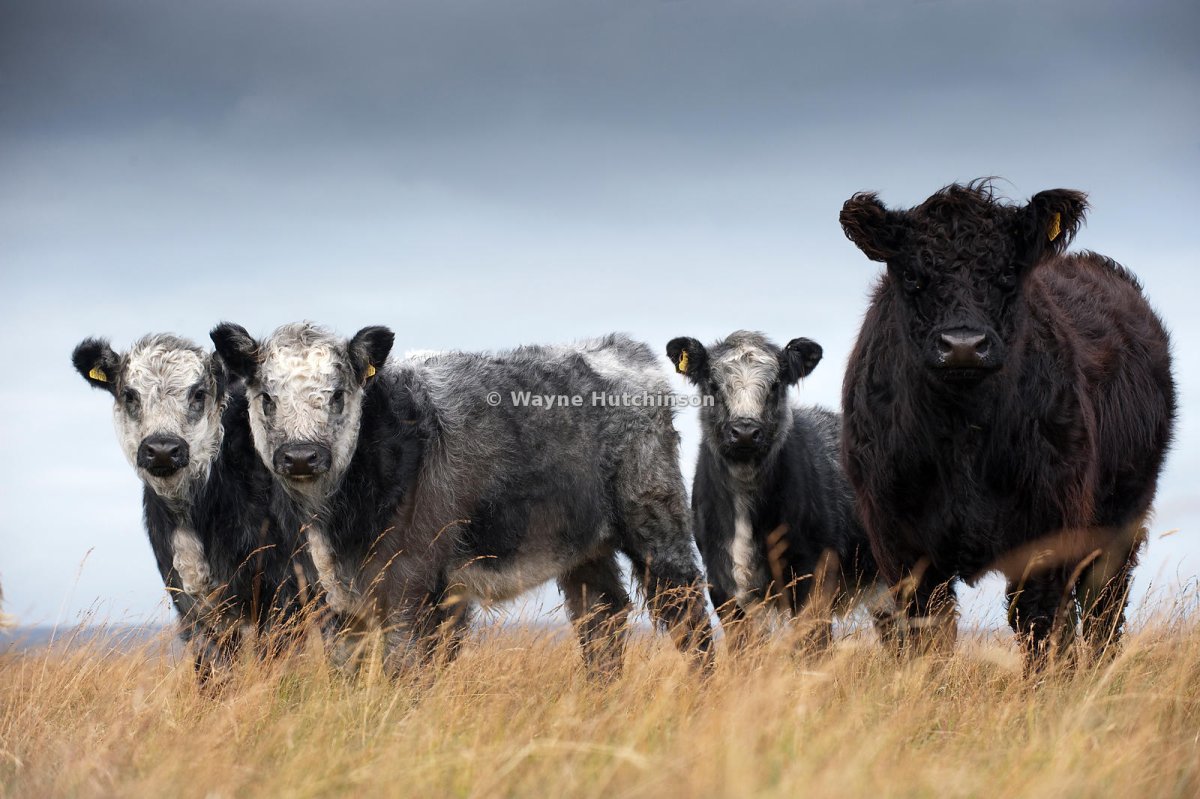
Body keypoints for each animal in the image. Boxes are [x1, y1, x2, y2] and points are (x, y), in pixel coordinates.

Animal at [210, 322, 714, 678]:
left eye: (337, 395)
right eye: (267, 397)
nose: (301, 455)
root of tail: (618, 348)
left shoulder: (411, 586)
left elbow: (404, 671)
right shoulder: (336, 600)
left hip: (654, 518)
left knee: (684, 610)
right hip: (583, 546)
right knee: (601, 618)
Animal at [838, 180, 1176, 669]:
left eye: (1007, 274)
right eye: (913, 276)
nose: (963, 344)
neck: (963, 432)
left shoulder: (1047, 530)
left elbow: (1038, 625)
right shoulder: (899, 540)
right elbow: (927, 634)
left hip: (1121, 519)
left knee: (1102, 608)